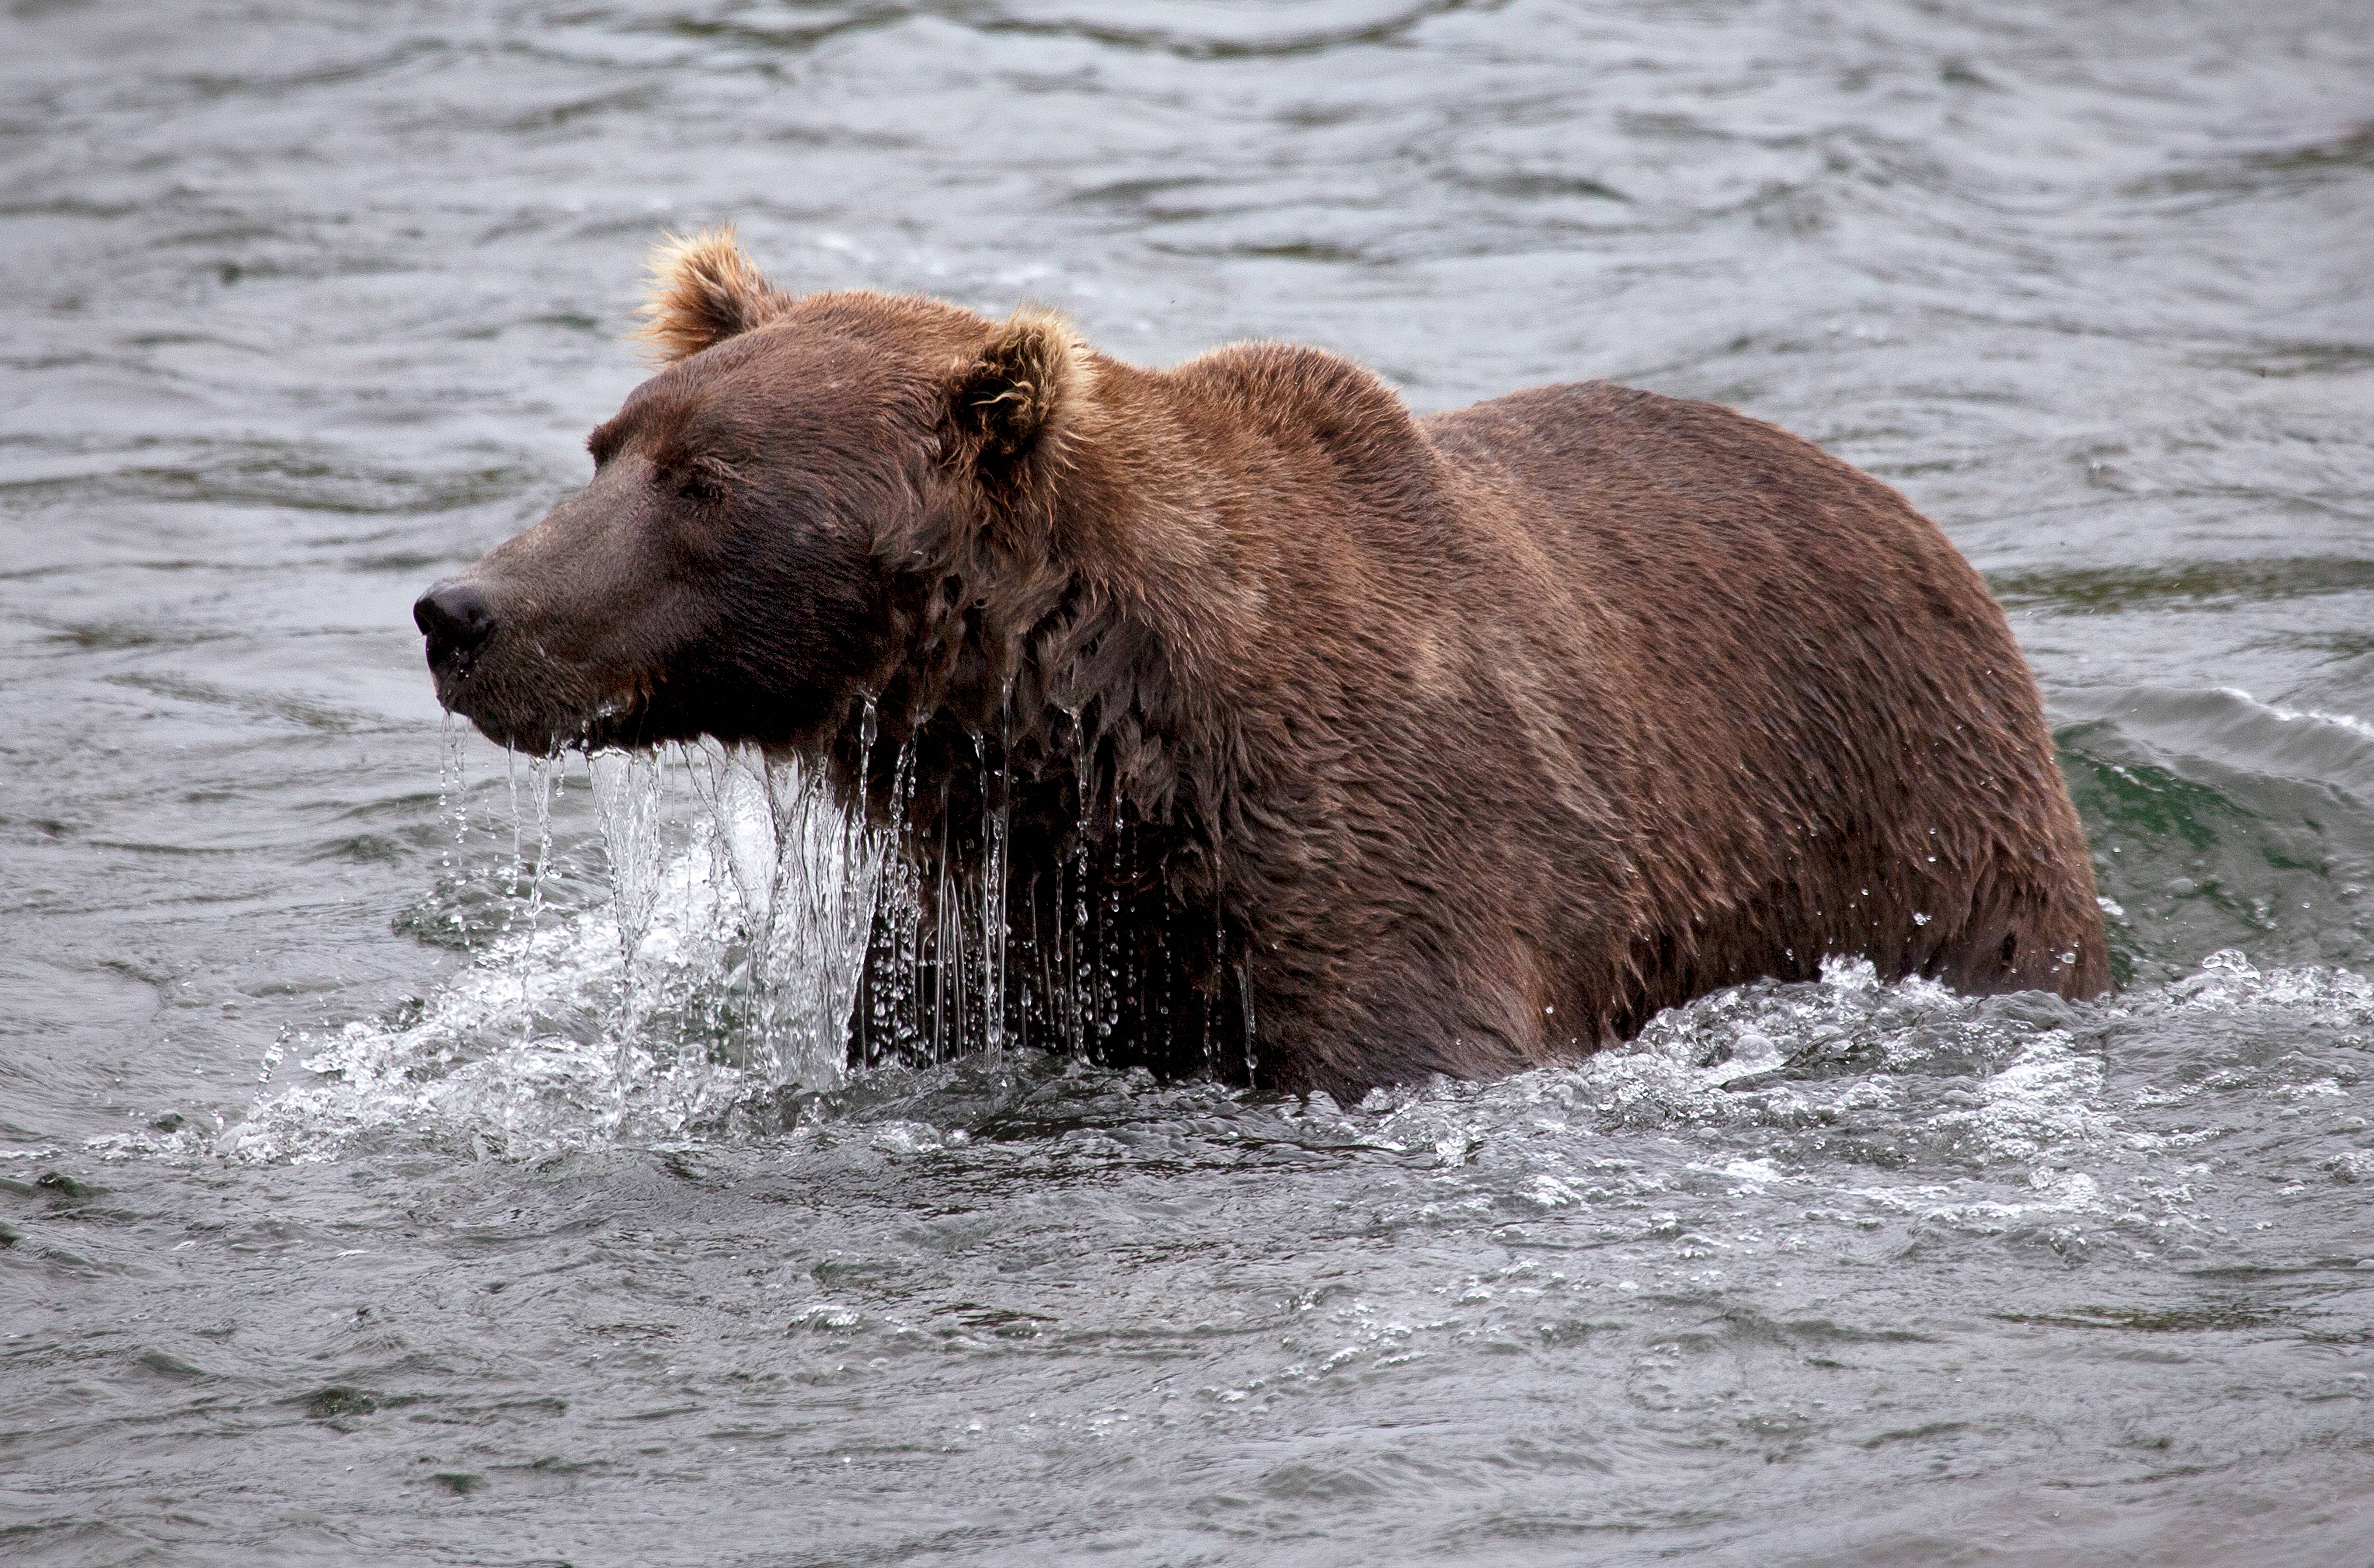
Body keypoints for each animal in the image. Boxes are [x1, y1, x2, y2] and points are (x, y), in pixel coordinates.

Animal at [415, 228, 2110, 1098]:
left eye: (706, 487)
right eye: (610, 446)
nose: (460, 612)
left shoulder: (1391, 876)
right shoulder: (996, 927)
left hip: (1919, 837)